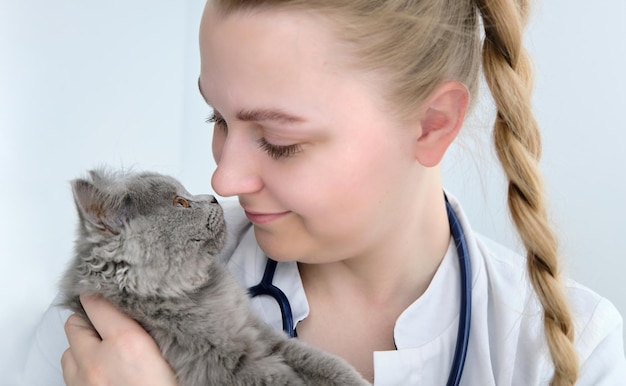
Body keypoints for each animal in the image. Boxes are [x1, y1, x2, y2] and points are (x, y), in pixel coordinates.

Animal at [60, 170, 368, 386]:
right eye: (180, 203)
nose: (212, 197)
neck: (195, 292)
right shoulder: (222, 366)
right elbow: (280, 379)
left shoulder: (260, 333)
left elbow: (322, 362)